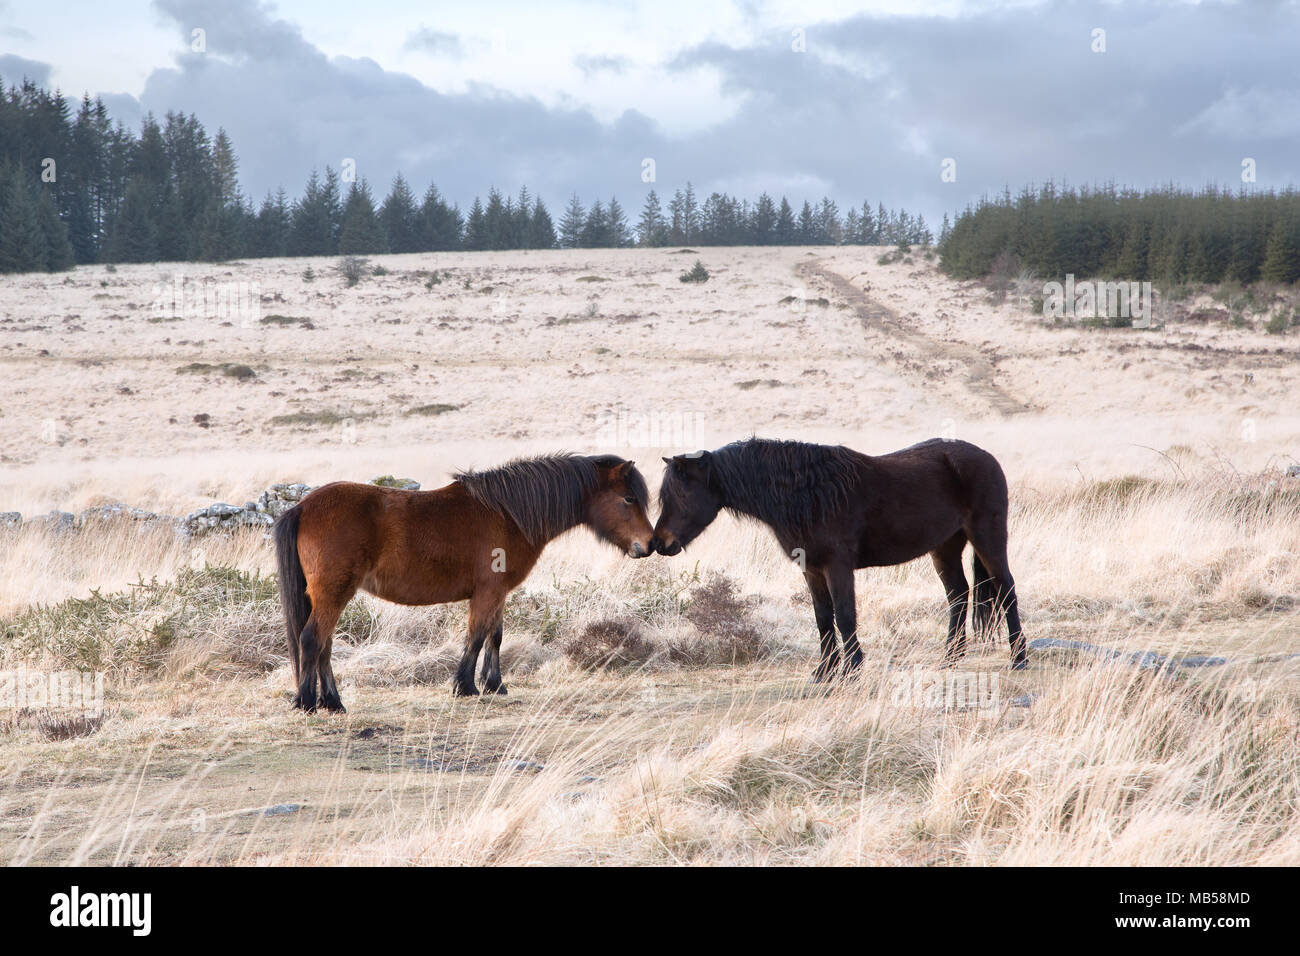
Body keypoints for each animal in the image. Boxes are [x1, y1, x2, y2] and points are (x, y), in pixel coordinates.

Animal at [279, 455, 655, 712]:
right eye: (629, 498)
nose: (650, 544)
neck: (508, 514)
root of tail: (303, 507)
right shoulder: (487, 592)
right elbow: (475, 636)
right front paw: (465, 686)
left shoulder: (499, 593)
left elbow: (494, 636)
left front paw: (495, 684)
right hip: (333, 594)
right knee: (313, 640)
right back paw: (309, 702)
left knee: (324, 645)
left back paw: (332, 702)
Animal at [650, 437, 1024, 676]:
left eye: (682, 494)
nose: (660, 542)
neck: (808, 493)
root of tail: (985, 457)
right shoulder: (812, 569)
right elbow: (822, 617)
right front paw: (825, 671)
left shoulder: (837, 567)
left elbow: (844, 616)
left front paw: (852, 669)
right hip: (944, 547)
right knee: (958, 595)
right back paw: (949, 660)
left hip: (987, 537)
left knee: (1006, 589)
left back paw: (1018, 658)